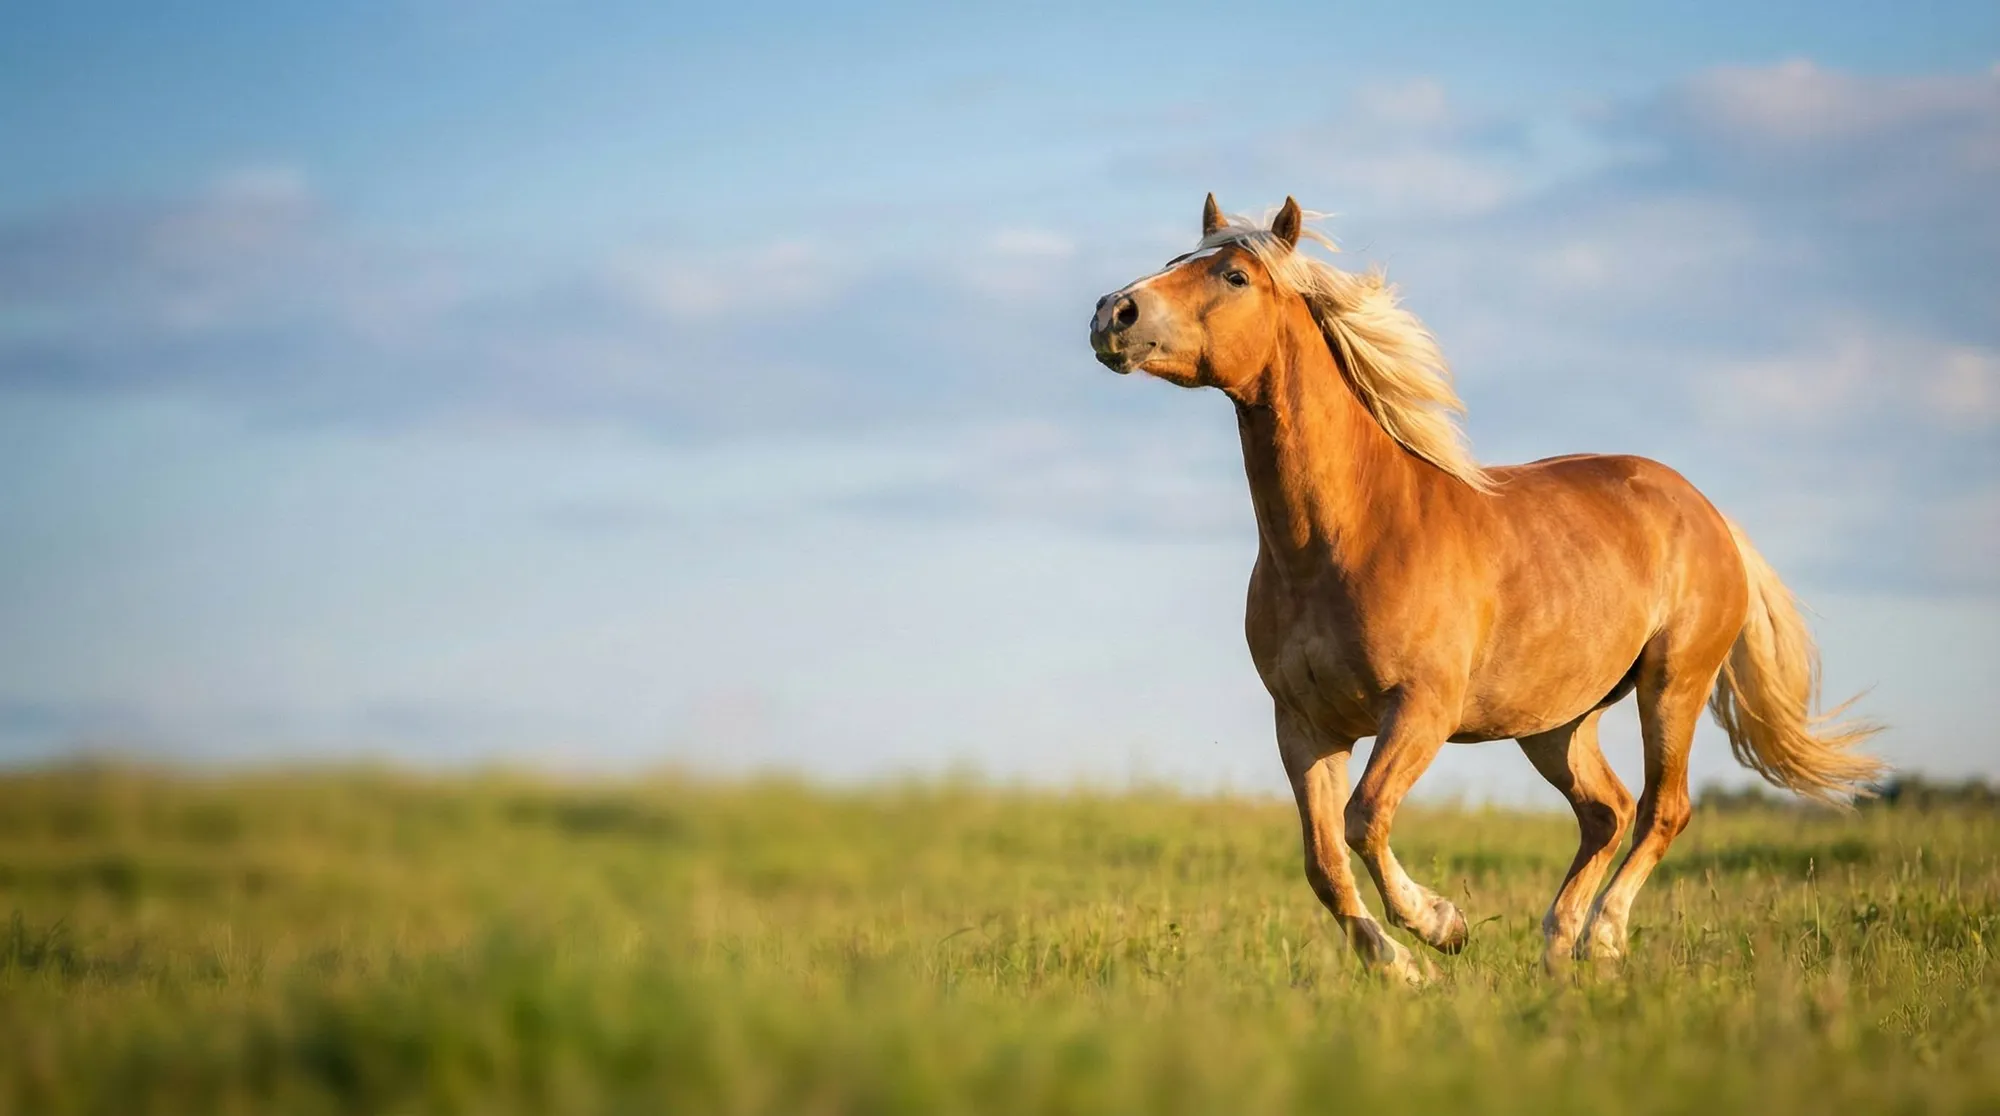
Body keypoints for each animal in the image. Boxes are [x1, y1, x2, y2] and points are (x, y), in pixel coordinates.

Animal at [1086, 195, 1884, 982]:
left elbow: (1363, 819)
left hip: (1673, 683)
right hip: (1558, 721)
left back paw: (1602, 939)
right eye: (1176, 260)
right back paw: (1557, 946)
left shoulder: (1422, 709)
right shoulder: (1304, 724)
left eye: (1235, 276)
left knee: (1664, 808)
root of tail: (1710, 515)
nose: (1112, 313)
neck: (1345, 538)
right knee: (1607, 811)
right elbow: (1322, 861)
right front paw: (1398, 969)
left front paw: (1442, 927)